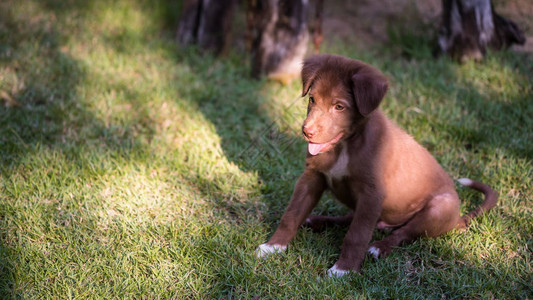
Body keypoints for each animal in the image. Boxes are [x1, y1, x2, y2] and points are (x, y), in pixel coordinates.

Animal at [256, 54, 496, 276]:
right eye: (312, 99)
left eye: (339, 106)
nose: (308, 131)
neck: (345, 146)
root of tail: (457, 220)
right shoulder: (312, 176)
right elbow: (292, 214)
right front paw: (273, 246)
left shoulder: (372, 194)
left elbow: (357, 234)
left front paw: (343, 269)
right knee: (349, 219)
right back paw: (316, 220)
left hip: (439, 208)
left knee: (401, 234)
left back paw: (378, 248)